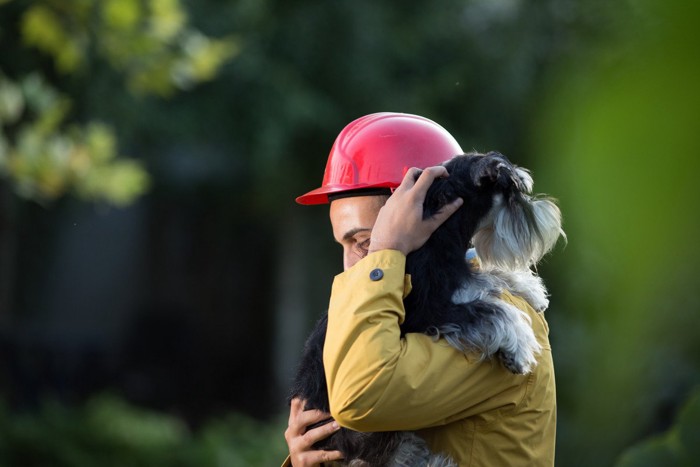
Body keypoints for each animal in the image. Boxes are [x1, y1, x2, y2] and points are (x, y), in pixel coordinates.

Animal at [288, 152, 568, 466]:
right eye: (513, 191)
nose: (549, 215)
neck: (439, 229)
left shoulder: (456, 275)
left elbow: (487, 277)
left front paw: (530, 289)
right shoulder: (429, 309)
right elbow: (493, 310)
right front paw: (518, 347)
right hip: (368, 432)